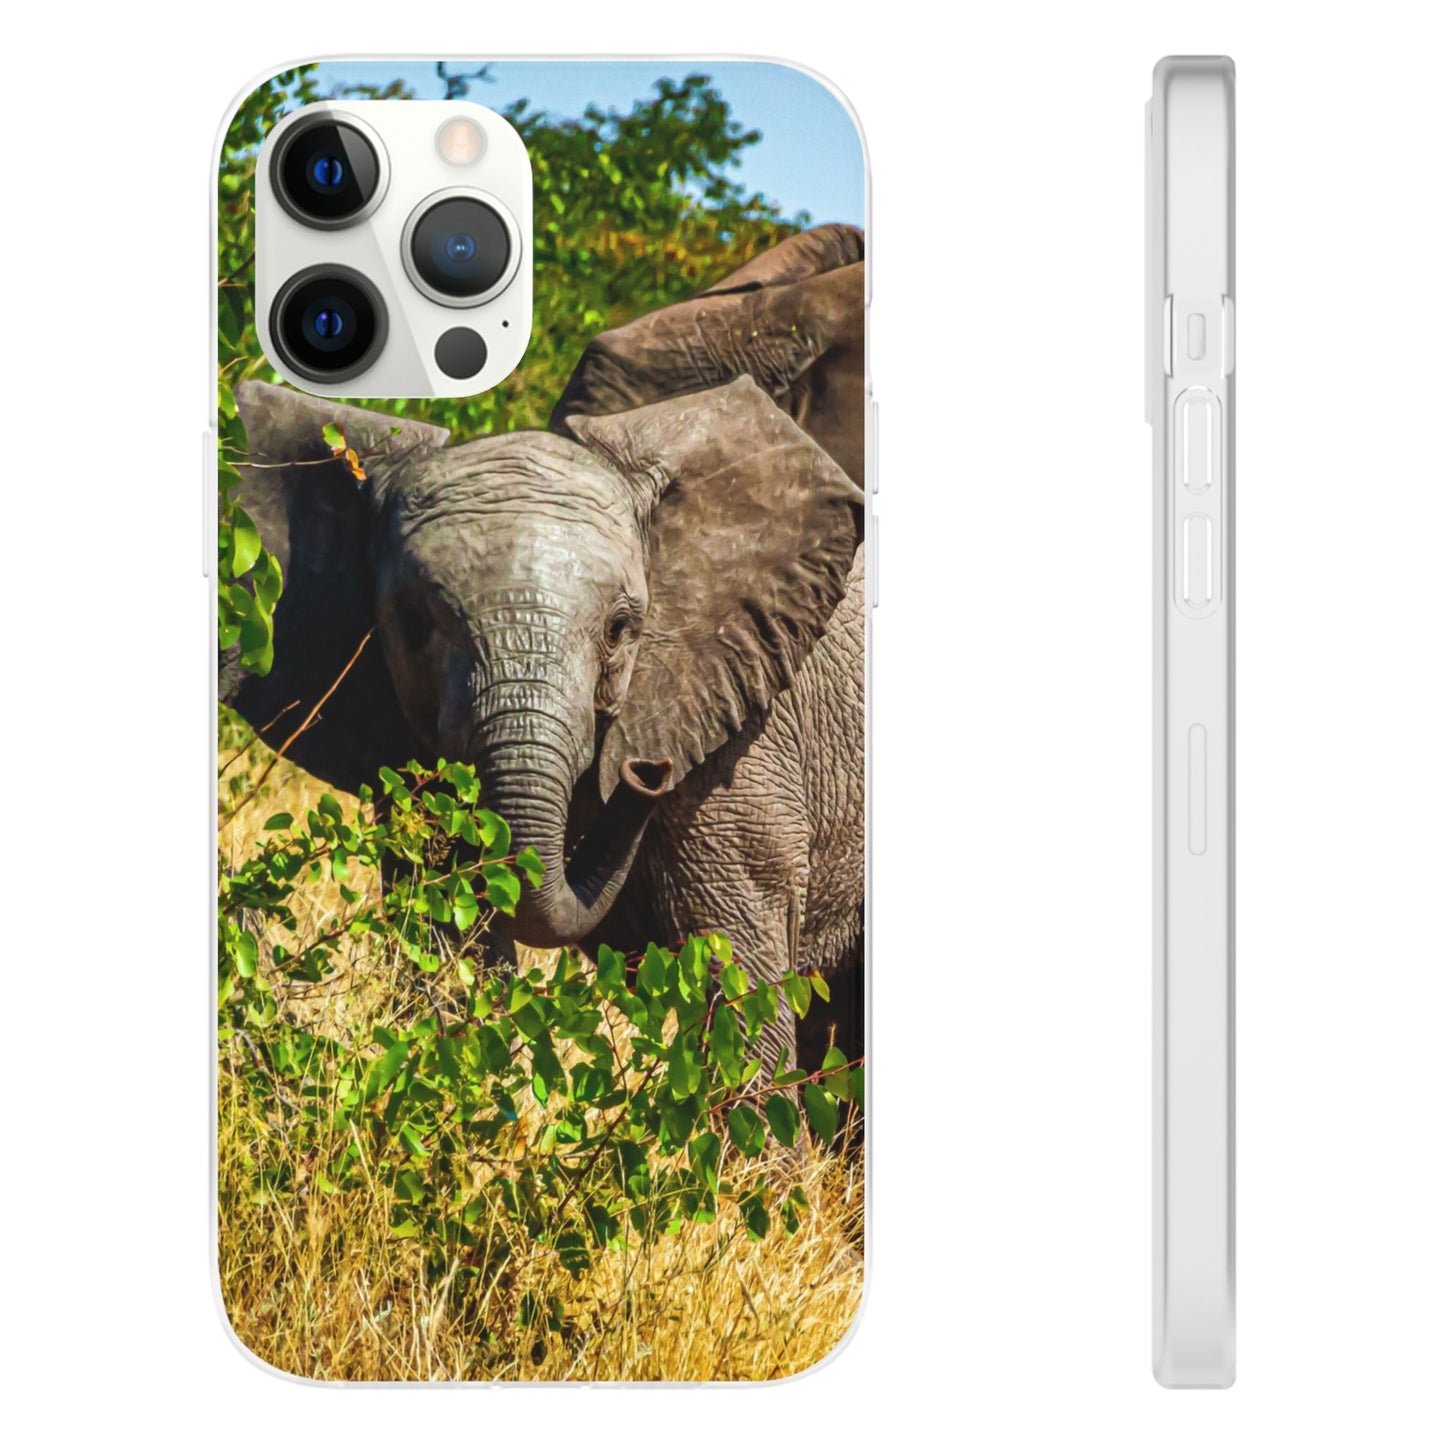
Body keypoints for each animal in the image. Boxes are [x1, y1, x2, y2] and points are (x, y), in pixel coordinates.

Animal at [222, 225, 866, 1077]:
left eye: (623, 629)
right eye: (413, 624)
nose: (646, 770)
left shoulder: (743, 745)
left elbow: (734, 970)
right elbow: (446, 927)